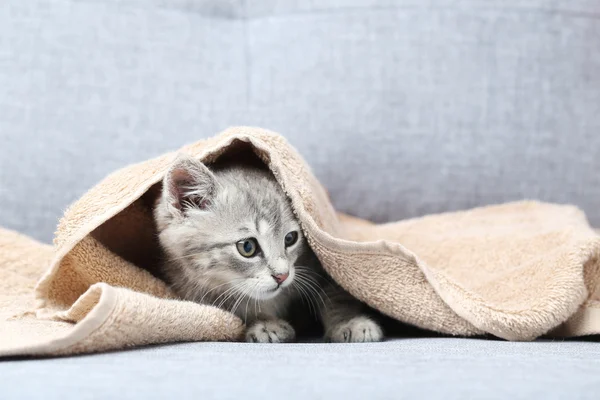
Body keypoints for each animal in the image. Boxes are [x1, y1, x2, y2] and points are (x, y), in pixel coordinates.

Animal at [152, 155, 382, 342]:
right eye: (247, 246)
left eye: (290, 238)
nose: (282, 275)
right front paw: (264, 323)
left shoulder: (320, 267)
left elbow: (337, 296)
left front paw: (350, 323)